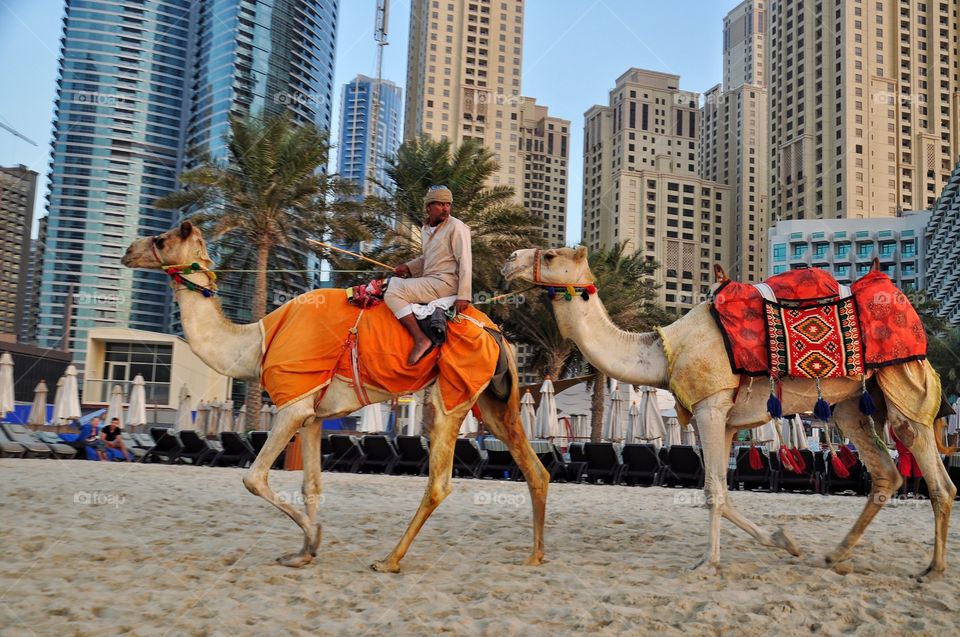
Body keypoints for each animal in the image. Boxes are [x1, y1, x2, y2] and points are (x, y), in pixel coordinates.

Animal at [121, 221, 549, 572]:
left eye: (161, 240)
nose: (128, 250)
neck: (256, 343)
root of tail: (496, 333)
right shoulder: (312, 415)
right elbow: (311, 486)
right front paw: (303, 552)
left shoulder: (292, 406)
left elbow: (254, 478)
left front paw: (313, 540)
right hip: (494, 401)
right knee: (535, 468)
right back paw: (534, 555)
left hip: (453, 392)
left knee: (440, 482)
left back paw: (389, 560)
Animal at [503, 246, 956, 578]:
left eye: (550, 256)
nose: (511, 260)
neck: (661, 354)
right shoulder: (724, 418)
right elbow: (719, 490)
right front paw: (782, 541)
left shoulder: (710, 405)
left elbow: (714, 491)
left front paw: (708, 564)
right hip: (852, 405)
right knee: (887, 473)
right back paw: (835, 555)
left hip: (902, 379)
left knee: (936, 479)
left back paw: (932, 570)